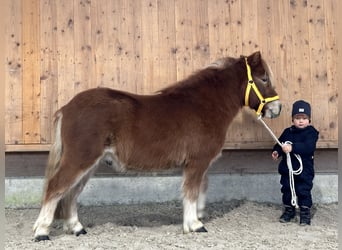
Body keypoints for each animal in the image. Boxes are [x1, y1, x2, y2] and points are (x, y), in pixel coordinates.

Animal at [33, 50, 282, 240]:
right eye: (264, 78)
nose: (277, 109)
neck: (204, 105)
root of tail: (67, 107)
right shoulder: (197, 162)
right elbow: (191, 192)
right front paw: (194, 225)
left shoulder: (198, 165)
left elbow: (200, 189)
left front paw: (198, 217)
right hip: (80, 159)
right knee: (56, 187)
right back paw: (41, 232)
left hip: (89, 164)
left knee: (71, 193)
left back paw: (76, 228)